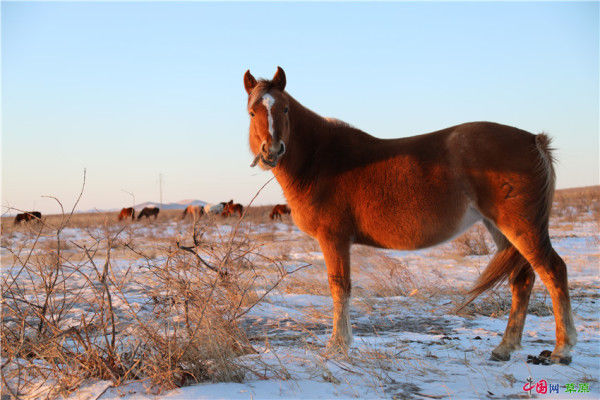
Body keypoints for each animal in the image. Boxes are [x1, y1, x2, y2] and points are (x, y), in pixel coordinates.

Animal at [244, 67, 576, 364]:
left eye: (285, 109)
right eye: (251, 112)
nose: (272, 151)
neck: (321, 159)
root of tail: (534, 139)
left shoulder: (334, 238)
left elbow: (340, 288)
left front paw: (337, 346)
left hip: (521, 226)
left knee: (553, 270)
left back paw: (562, 350)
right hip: (501, 229)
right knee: (522, 279)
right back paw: (504, 348)